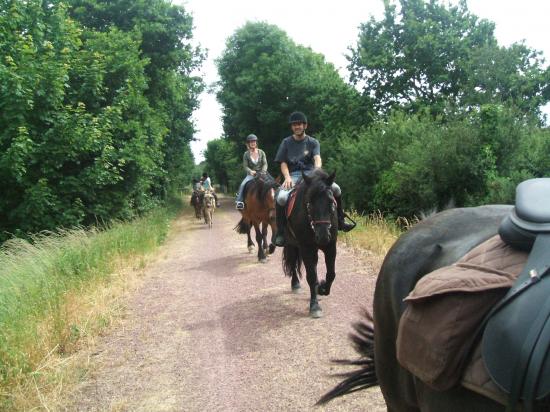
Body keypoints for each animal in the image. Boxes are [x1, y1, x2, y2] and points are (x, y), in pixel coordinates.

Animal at [282, 169, 338, 318]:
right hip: (292, 244)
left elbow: (331, 274)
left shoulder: (331, 246)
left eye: (331, 202)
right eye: (309, 203)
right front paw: (315, 306)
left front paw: (322, 288)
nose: (323, 236)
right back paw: (295, 284)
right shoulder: (306, 248)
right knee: (292, 262)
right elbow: (311, 277)